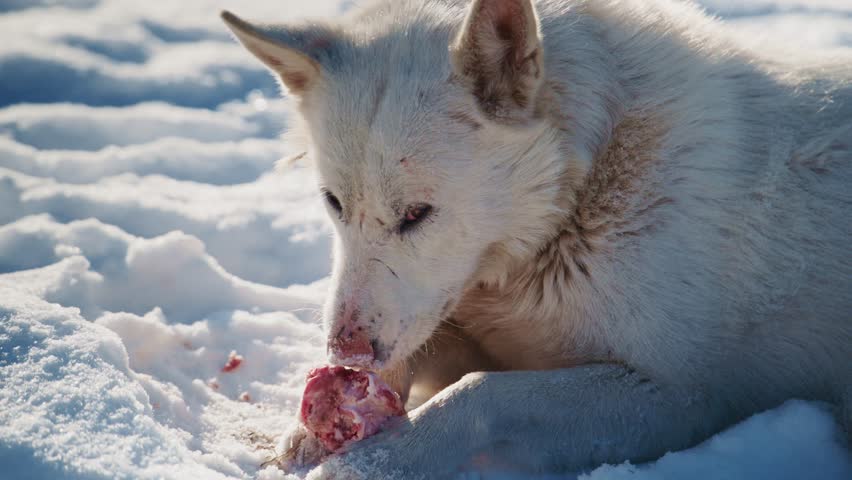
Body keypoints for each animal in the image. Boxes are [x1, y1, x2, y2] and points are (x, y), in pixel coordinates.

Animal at [222, 0, 852, 478]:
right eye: (333, 203)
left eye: (417, 213)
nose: (344, 352)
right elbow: (413, 348)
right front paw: (314, 426)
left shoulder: (681, 397)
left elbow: (480, 394)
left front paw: (377, 459)